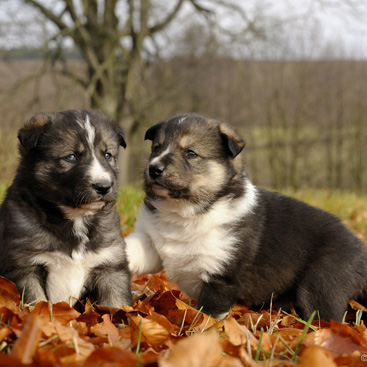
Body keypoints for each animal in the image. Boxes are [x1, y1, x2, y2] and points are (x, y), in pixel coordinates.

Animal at [0, 109, 132, 308]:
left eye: (108, 155)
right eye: (71, 157)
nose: (104, 186)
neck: (76, 217)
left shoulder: (110, 265)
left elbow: (117, 304)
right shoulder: (24, 265)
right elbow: (36, 302)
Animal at [126, 113, 367, 320]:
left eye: (191, 153)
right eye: (156, 148)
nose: (153, 168)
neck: (184, 212)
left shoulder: (221, 279)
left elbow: (206, 319)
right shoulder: (151, 243)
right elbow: (133, 251)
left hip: (320, 285)